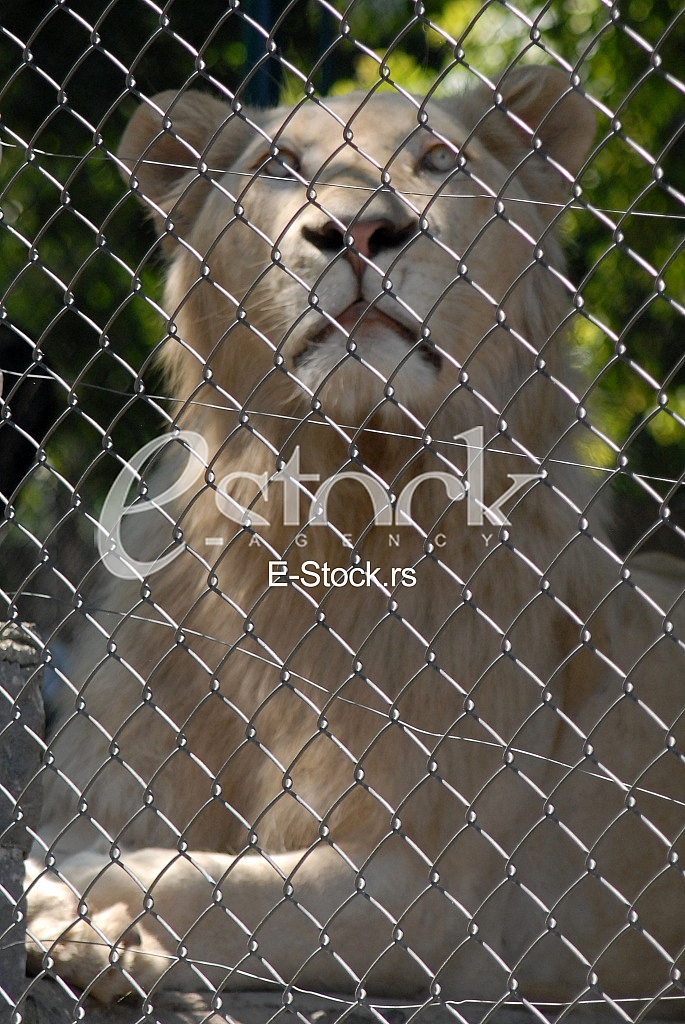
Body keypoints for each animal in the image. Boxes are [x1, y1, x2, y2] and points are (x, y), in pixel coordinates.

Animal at [26, 66, 685, 1007]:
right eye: (278, 164)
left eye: (439, 159)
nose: (362, 232)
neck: (335, 496)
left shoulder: (440, 898)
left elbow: (223, 889)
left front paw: (86, 915)